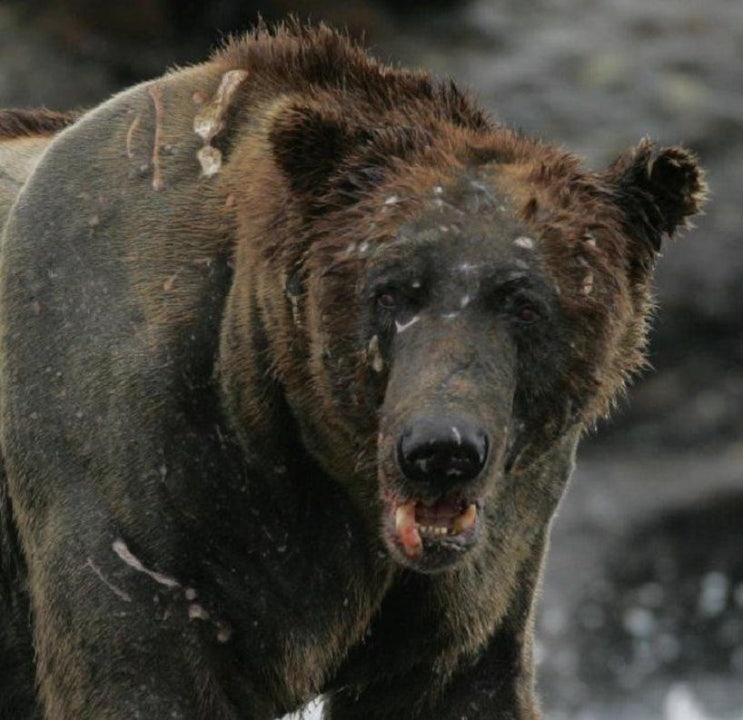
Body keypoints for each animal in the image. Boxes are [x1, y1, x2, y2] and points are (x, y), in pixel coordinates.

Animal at [0, 22, 706, 720]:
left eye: (524, 302)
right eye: (392, 291)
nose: (440, 449)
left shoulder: (489, 559)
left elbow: (462, 679)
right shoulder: (129, 473)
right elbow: (135, 667)